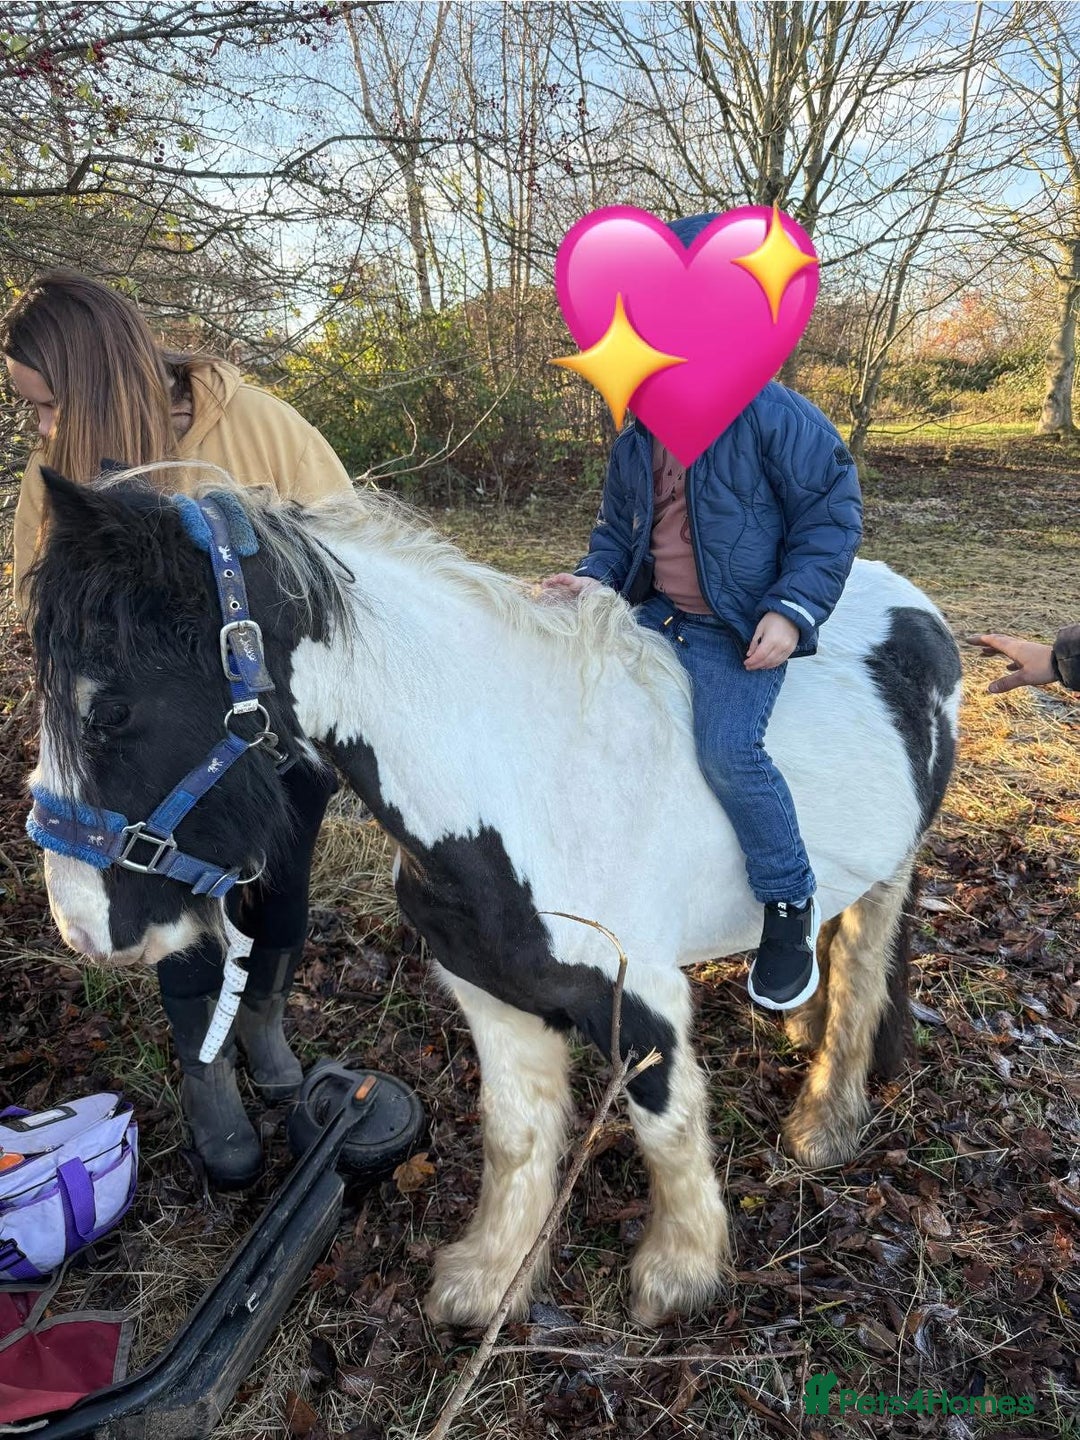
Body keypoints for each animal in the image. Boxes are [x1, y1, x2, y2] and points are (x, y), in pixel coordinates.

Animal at [25, 465, 962, 1328]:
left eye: (109, 710)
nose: (80, 923)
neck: (525, 781)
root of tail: (914, 604)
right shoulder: (492, 992)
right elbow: (515, 1134)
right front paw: (491, 1280)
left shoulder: (644, 1001)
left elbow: (665, 1127)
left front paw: (679, 1276)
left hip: (889, 875)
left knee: (862, 979)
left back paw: (824, 1120)